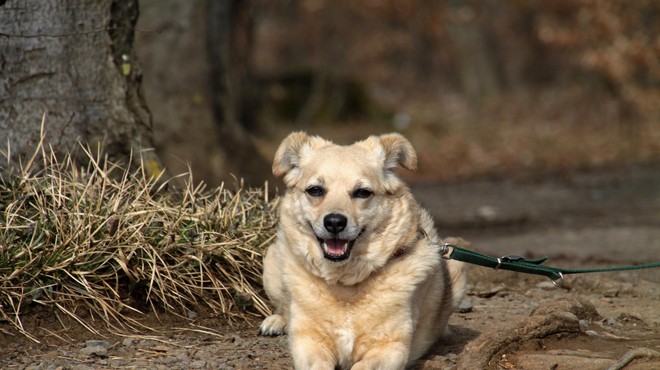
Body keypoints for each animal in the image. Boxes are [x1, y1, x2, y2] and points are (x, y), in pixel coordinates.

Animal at [260, 132, 466, 368]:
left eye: (362, 193)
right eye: (315, 190)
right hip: (272, 265)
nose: (335, 222)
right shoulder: (309, 342)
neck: (345, 283)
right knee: (283, 305)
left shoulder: (390, 348)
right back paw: (276, 321)